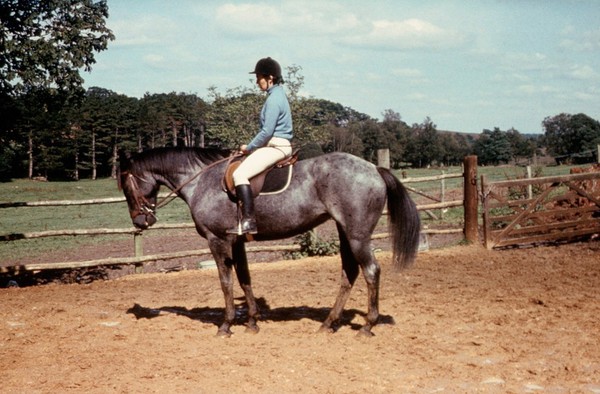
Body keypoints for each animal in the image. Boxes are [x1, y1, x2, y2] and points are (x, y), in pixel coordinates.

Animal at [116, 146, 418, 338]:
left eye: (125, 184)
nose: (140, 222)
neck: (202, 180)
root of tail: (374, 168)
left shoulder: (217, 240)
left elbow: (225, 282)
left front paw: (226, 326)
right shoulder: (236, 241)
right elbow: (244, 278)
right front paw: (252, 321)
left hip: (357, 236)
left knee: (370, 271)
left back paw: (367, 326)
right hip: (346, 233)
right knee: (350, 272)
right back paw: (328, 324)